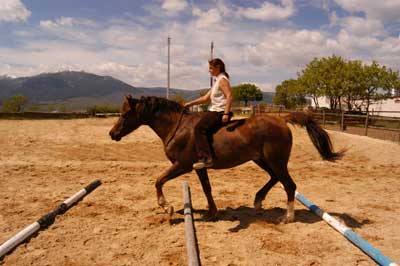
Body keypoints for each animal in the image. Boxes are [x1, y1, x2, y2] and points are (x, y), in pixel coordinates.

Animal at [110, 95, 344, 222]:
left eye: (125, 114)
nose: (112, 134)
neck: (178, 127)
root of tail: (282, 119)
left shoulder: (183, 166)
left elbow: (158, 181)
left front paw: (166, 207)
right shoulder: (199, 167)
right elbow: (207, 188)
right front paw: (212, 212)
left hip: (276, 161)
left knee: (289, 185)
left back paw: (288, 217)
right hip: (263, 160)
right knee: (275, 179)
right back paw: (258, 200)